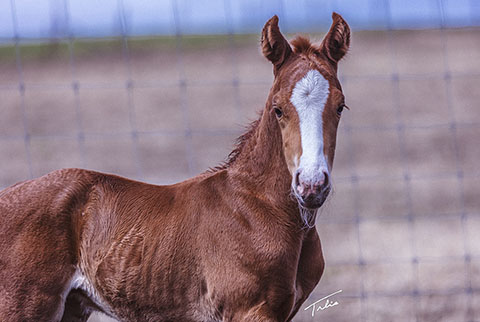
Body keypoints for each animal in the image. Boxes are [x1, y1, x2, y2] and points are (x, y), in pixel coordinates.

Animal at [1, 13, 350, 322]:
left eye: (340, 107)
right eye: (278, 109)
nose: (311, 185)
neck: (262, 207)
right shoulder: (249, 310)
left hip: (72, 307)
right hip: (24, 306)